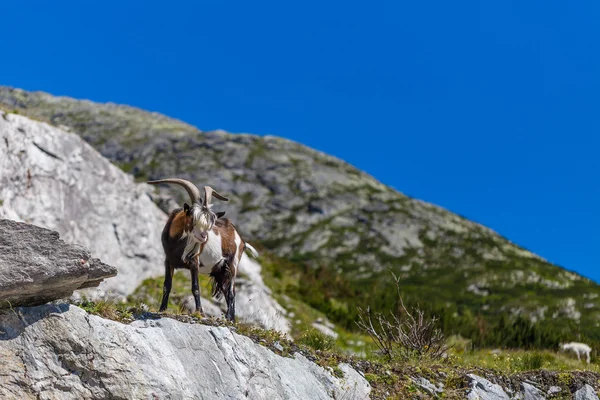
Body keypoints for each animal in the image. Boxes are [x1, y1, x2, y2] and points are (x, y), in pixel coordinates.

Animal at [148, 178, 258, 322]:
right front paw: (162, 309)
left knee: (231, 291)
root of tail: (241, 239)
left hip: (232, 264)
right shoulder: (168, 261)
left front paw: (200, 313)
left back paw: (229, 319)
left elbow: (195, 287)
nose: (204, 236)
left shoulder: (194, 261)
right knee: (226, 289)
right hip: (220, 271)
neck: (176, 243)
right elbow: (167, 285)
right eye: (192, 218)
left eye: (209, 222)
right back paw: (231, 319)